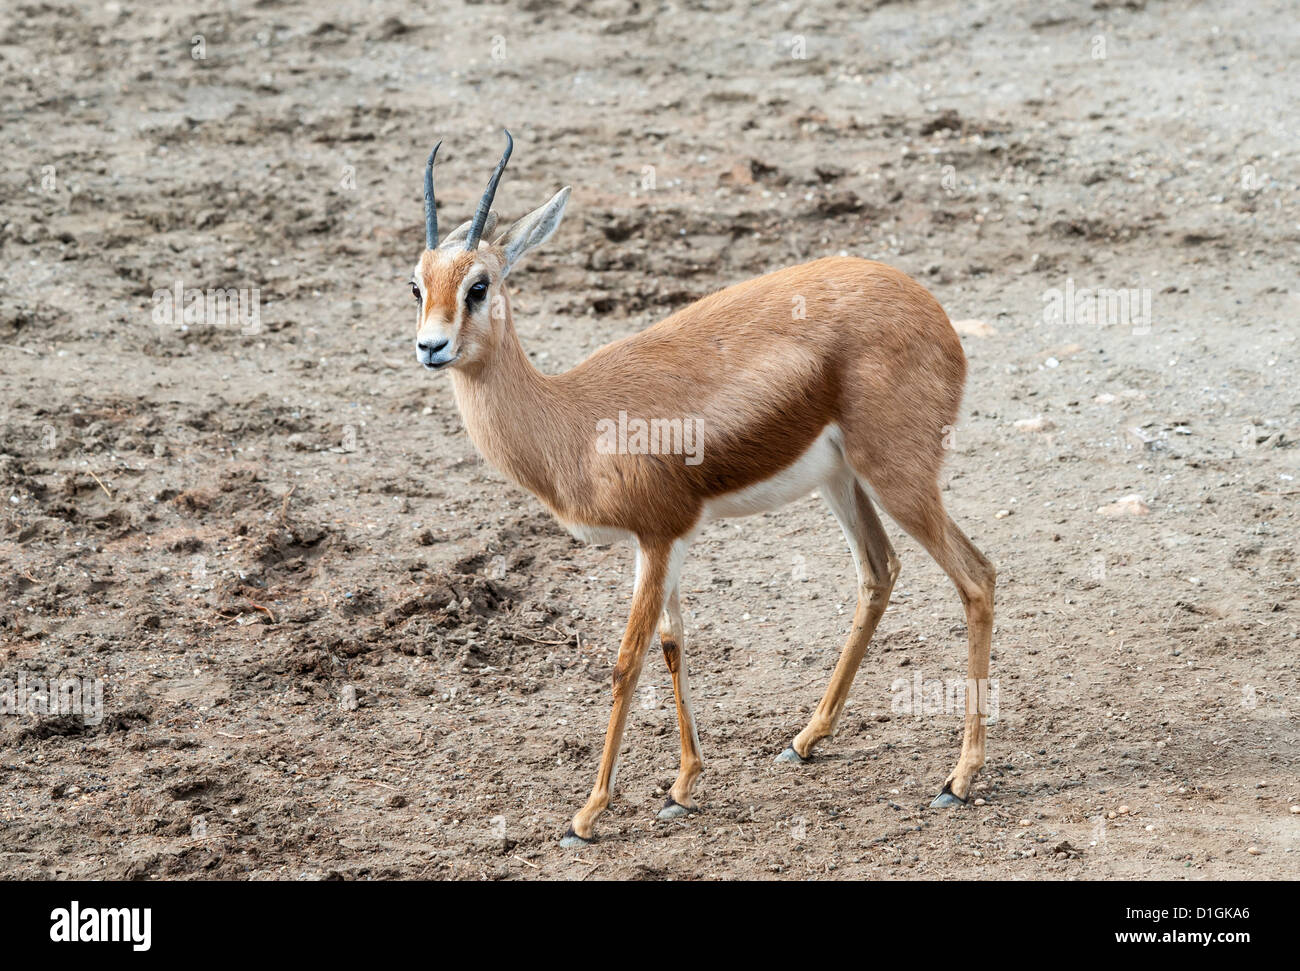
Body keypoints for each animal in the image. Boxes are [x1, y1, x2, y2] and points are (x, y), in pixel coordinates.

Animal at [410, 131, 996, 847]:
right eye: (416, 284)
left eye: (479, 285)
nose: (431, 347)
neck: (571, 420)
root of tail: (932, 310)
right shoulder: (668, 541)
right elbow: (673, 644)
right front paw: (683, 787)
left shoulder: (658, 536)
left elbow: (627, 660)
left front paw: (588, 814)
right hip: (842, 481)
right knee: (879, 571)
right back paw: (804, 741)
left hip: (898, 479)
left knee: (976, 577)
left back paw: (958, 780)